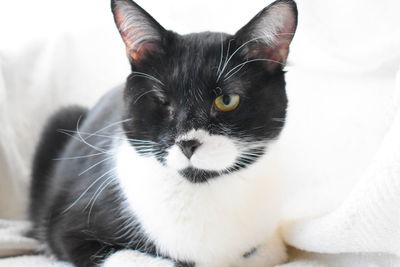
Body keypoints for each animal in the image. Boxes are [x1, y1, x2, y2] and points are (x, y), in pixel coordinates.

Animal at [28, 0, 296, 266]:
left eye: (227, 100)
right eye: (163, 101)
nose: (188, 143)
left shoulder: (269, 241)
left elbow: (265, 253)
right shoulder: (70, 228)